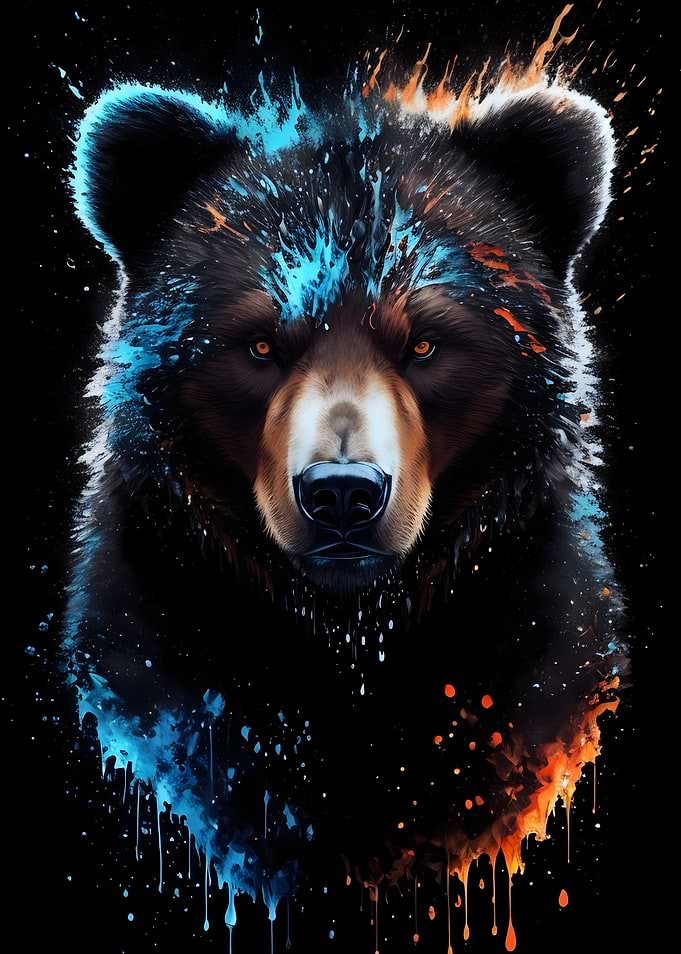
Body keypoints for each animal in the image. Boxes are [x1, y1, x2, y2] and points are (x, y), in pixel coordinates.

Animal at [62, 72, 627, 951]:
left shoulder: (531, 649)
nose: (341, 493)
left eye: (423, 343)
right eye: (261, 344)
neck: (348, 641)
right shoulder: (158, 649)